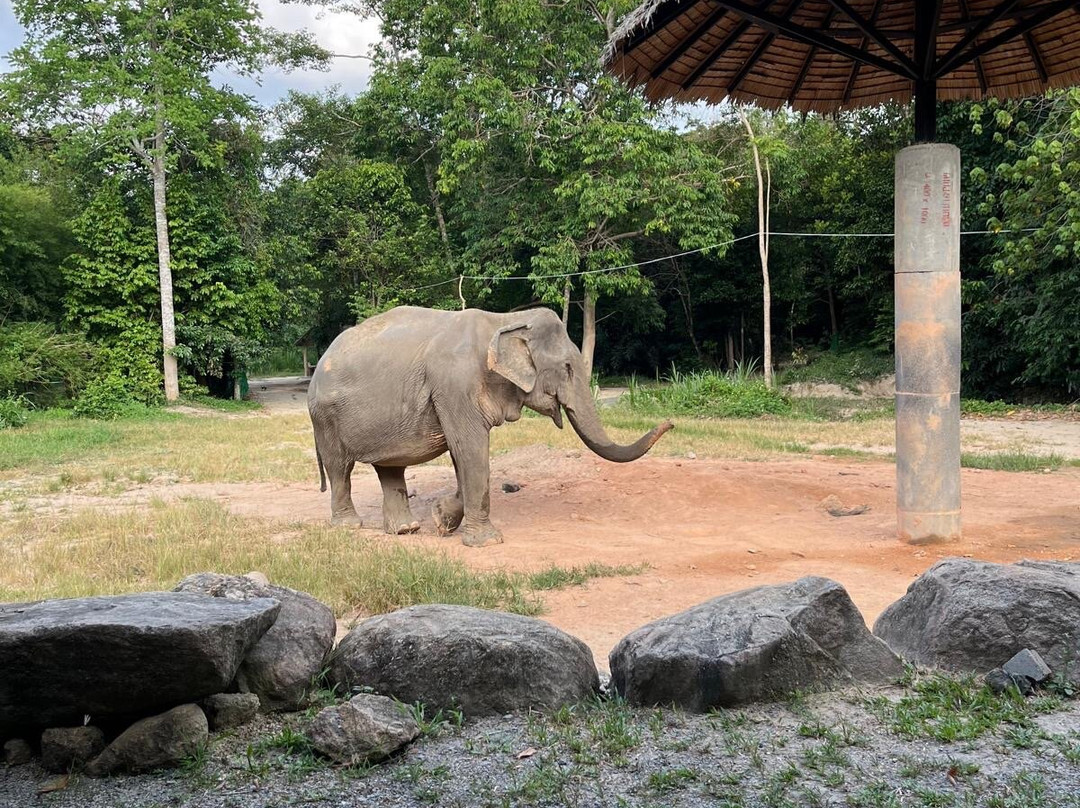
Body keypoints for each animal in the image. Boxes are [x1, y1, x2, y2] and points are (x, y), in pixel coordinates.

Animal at [307, 305, 673, 547]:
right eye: (568, 367)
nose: (669, 422)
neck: (506, 320)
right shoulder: (454, 386)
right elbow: (469, 448)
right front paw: (487, 541)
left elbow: (463, 456)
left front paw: (442, 519)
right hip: (325, 417)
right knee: (340, 467)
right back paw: (349, 526)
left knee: (390, 468)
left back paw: (405, 530)